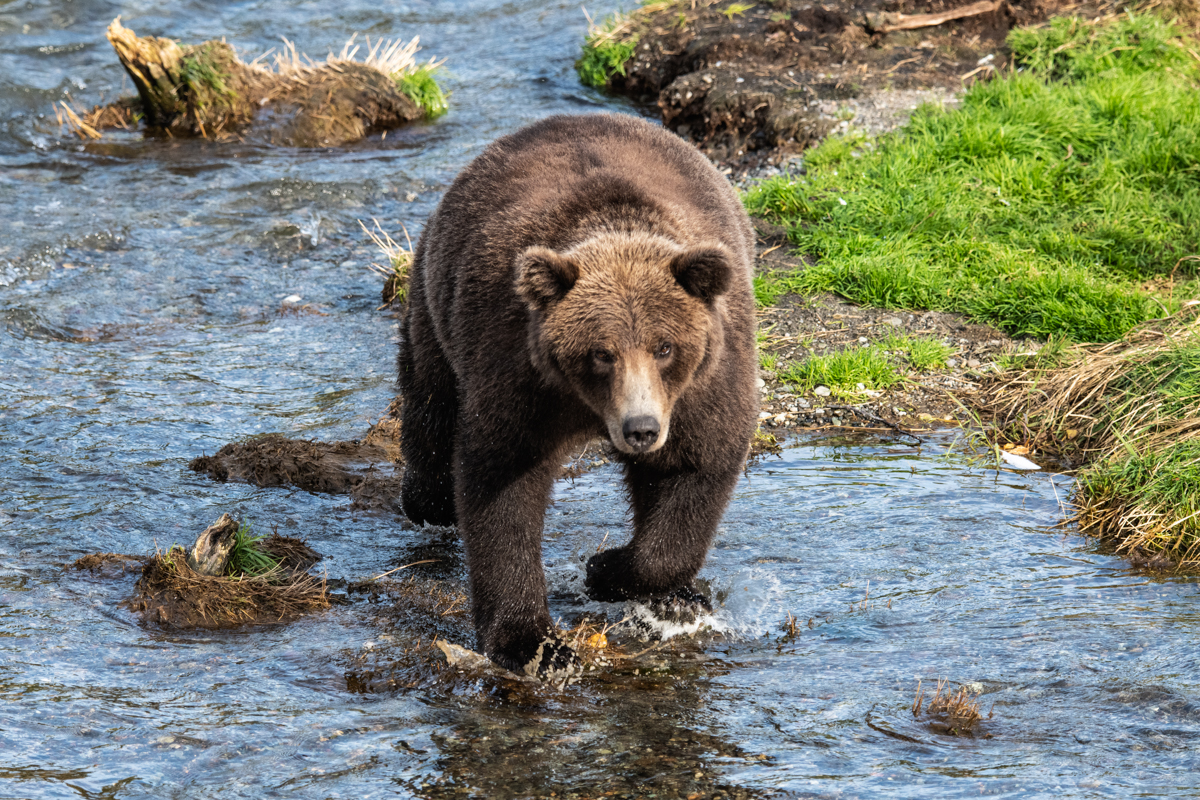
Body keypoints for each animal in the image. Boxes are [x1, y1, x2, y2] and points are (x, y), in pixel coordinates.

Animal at [400, 110, 758, 676]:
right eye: (600, 353)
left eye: (664, 346)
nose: (640, 429)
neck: (587, 408)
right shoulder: (521, 377)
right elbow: (503, 487)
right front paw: (533, 643)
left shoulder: (702, 385)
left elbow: (695, 468)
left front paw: (608, 568)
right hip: (437, 300)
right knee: (430, 396)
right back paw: (428, 498)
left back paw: (683, 598)